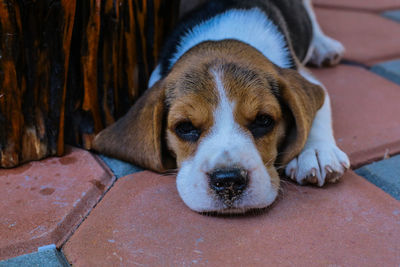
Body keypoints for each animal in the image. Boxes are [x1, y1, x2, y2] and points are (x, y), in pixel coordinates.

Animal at [92, 0, 348, 214]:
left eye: (263, 120)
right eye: (185, 127)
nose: (229, 181)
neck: (225, 35)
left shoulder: (307, 80)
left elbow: (316, 114)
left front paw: (315, 152)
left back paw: (323, 46)